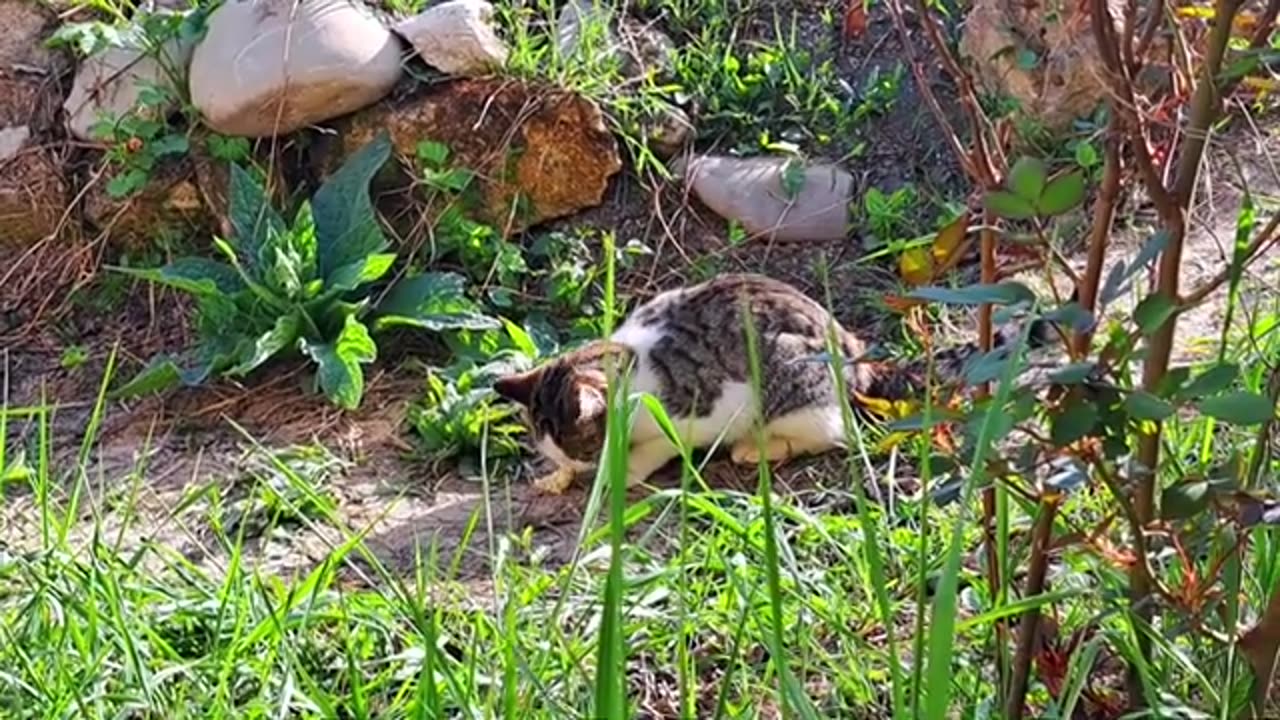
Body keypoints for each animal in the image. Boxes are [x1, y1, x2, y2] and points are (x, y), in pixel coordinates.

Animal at [494, 271, 1044, 489]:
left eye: (583, 447)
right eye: (556, 451)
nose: (574, 468)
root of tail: (856, 356)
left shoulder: (705, 409)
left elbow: (665, 445)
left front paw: (623, 470)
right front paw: (553, 479)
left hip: (791, 378)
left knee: (833, 432)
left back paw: (756, 447)